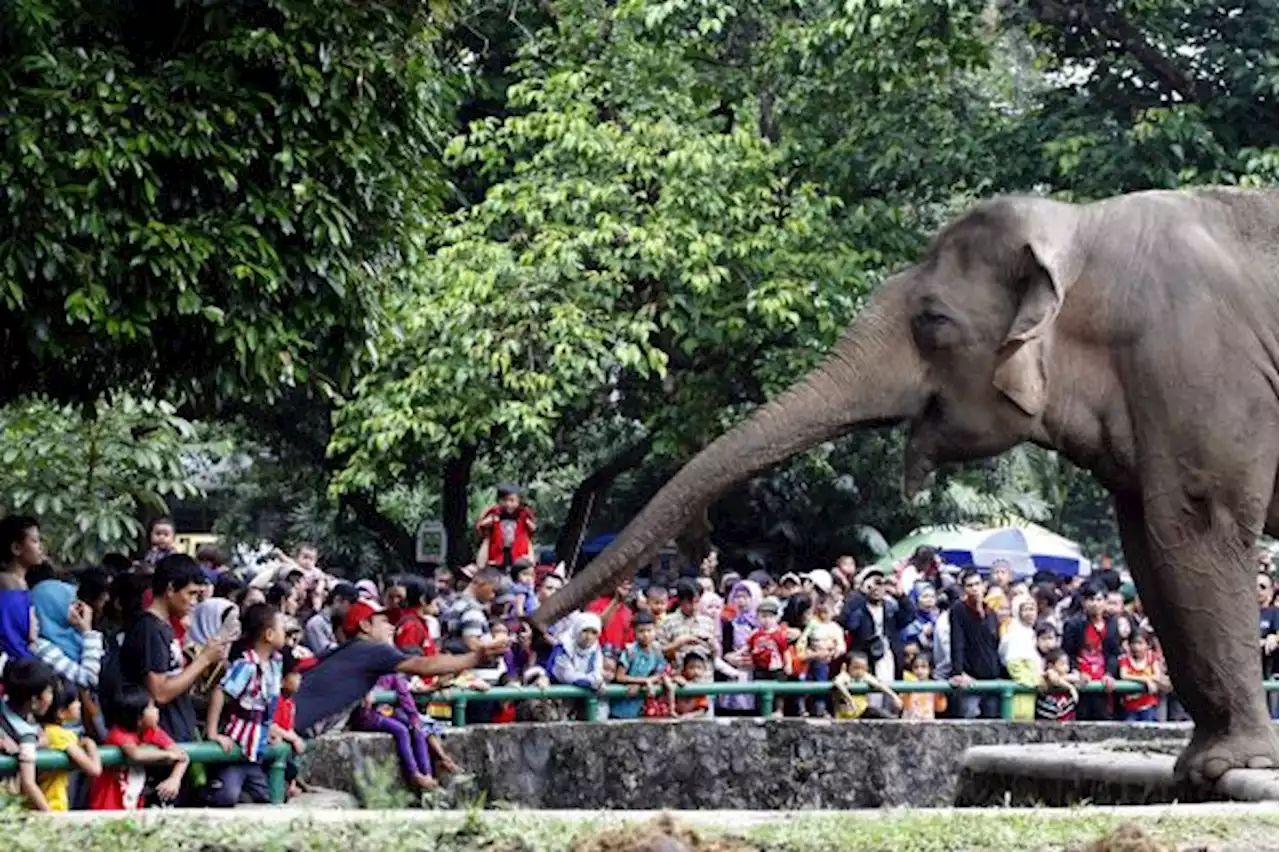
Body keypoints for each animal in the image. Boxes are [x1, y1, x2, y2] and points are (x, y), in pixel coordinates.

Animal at [529, 188, 1280, 782]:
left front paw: (1223, 767)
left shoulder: (1199, 369)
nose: (534, 626)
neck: (1079, 228)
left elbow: (1192, 529)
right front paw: (1201, 766)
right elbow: (1152, 550)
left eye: (932, 321)